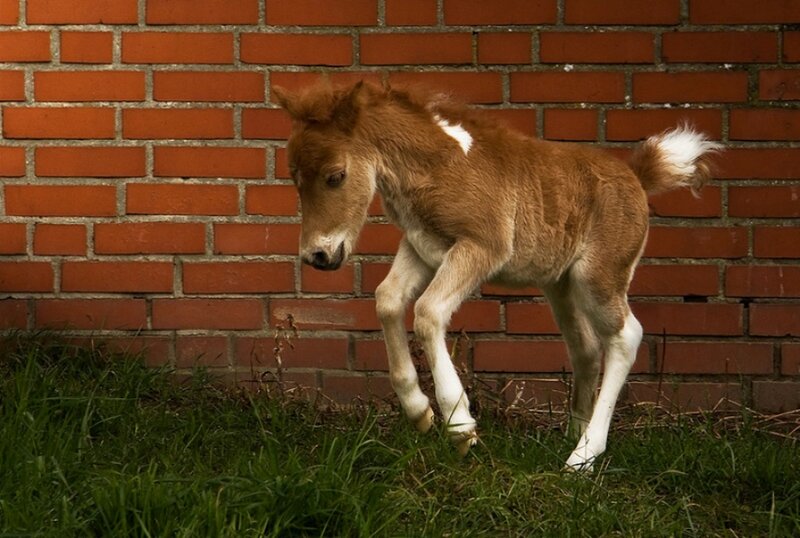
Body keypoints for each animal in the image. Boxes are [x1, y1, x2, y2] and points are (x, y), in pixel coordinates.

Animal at [273, 80, 720, 470]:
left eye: (335, 176)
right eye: (294, 178)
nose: (317, 255)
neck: (438, 166)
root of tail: (637, 177)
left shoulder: (481, 246)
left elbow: (428, 312)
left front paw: (459, 426)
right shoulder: (421, 247)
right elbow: (387, 300)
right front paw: (419, 412)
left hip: (598, 276)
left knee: (626, 335)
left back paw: (583, 457)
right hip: (560, 284)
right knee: (587, 347)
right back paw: (574, 435)